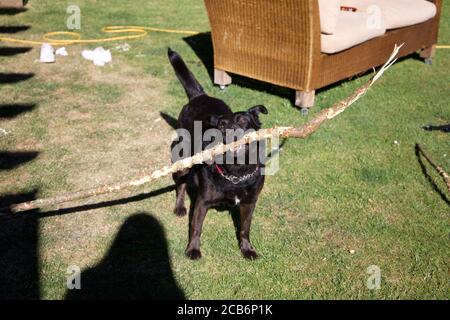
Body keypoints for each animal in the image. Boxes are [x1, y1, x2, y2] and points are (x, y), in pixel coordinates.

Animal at [168, 49, 268, 260]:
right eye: (222, 125)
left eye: (244, 121)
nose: (231, 132)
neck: (237, 172)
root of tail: (199, 96)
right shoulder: (202, 202)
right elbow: (196, 227)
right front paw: (193, 249)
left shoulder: (249, 203)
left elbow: (244, 229)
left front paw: (247, 249)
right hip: (183, 160)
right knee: (180, 184)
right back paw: (180, 207)